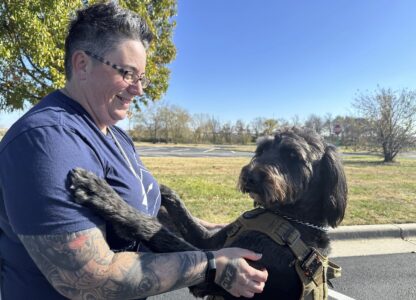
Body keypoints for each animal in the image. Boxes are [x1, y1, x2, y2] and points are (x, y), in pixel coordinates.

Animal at [69, 127, 348, 300]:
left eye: (293, 155)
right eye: (261, 150)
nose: (250, 175)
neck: (288, 218)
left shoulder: (216, 279)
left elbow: (160, 233)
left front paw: (103, 196)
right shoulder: (211, 240)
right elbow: (181, 215)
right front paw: (162, 190)